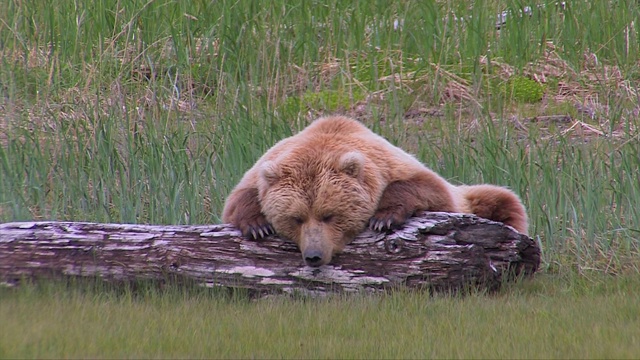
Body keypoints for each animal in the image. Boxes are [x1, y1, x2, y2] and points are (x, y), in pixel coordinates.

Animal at [222, 115, 528, 268]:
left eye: (329, 215)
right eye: (296, 218)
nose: (314, 256)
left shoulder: (394, 165)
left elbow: (426, 187)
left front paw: (384, 217)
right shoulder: (262, 168)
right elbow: (238, 198)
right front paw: (257, 225)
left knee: (505, 202)